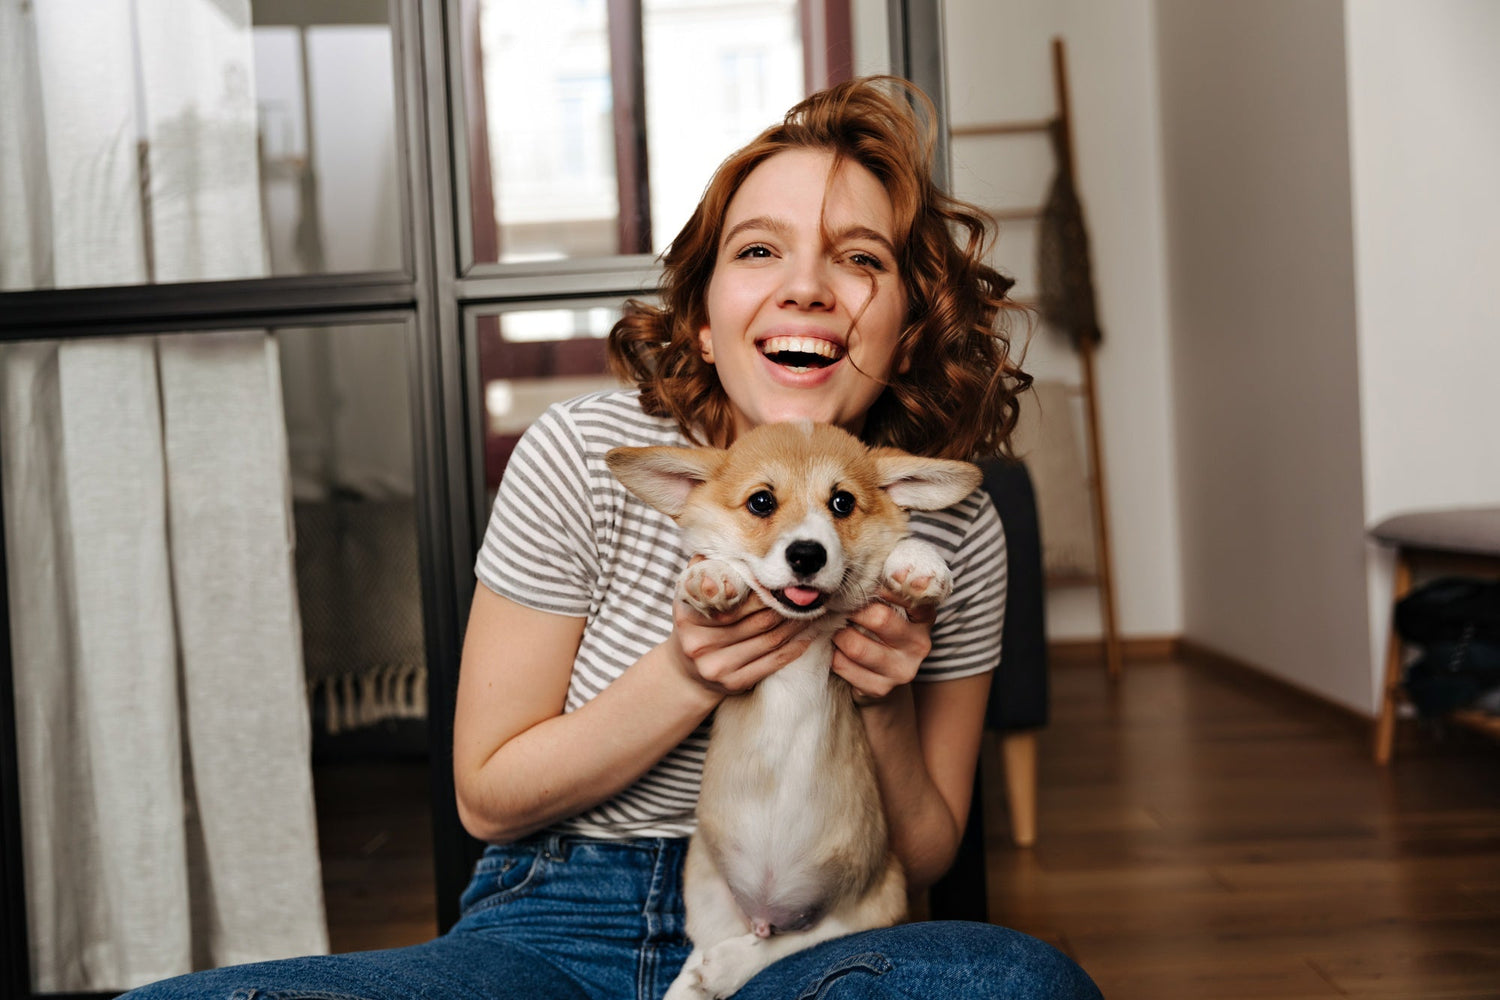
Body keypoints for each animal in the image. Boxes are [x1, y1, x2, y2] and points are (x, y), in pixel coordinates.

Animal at [609, 422, 984, 1000]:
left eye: (842, 502)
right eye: (761, 502)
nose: (807, 554)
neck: (807, 624)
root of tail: (768, 914)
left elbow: (901, 542)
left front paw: (918, 562)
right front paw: (714, 576)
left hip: (878, 902)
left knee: (802, 939)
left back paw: (728, 965)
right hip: (706, 892)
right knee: (707, 953)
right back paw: (700, 975)